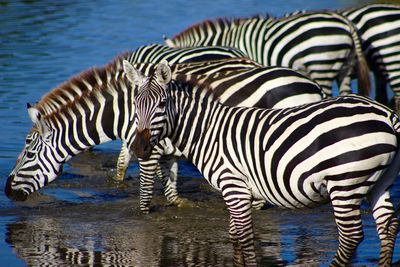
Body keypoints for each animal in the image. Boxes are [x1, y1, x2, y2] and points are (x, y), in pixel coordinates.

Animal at [4, 48, 322, 211]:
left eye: (29, 153)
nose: (6, 191)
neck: (123, 112)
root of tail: (311, 84)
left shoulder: (149, 148)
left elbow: (145, 190)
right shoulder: (157, 147)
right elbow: (162, 181)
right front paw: (178, 202)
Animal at [128, 61, 400, 267]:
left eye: (161, 104)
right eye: (134, 105)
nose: (139, 148)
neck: (208, 132)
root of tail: (386, 113)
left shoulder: (234, 185)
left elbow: (245, 237)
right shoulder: (237, 191)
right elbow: (235, 236)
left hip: (345, 183)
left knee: (351, 236)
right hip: (379, 181)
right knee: (388, 224)